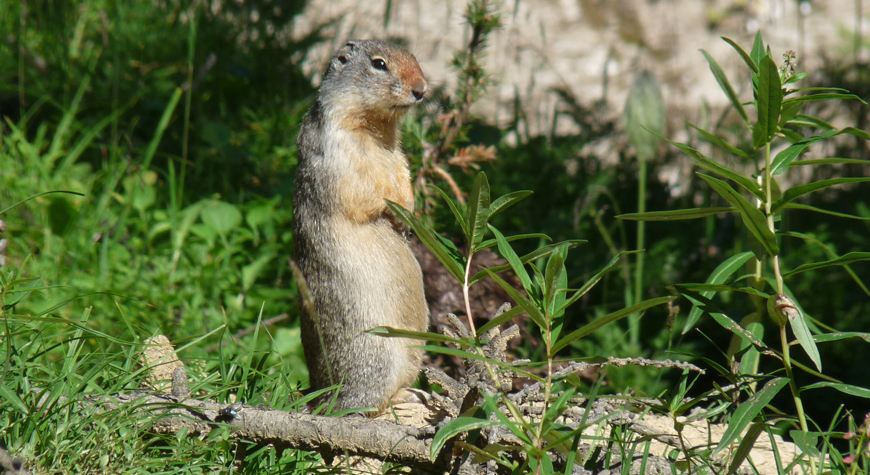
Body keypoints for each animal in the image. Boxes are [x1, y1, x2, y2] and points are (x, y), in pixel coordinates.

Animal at [294, 40, 430, 412]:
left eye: (415, 58)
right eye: (379, 64)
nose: (422, 90)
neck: (378, 126)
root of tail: (320, 396)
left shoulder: (397, 154)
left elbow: (402, 173)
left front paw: (409, 214)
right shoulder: (339, 148)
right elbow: (365, 190)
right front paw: (397, 213)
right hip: (377, 353)